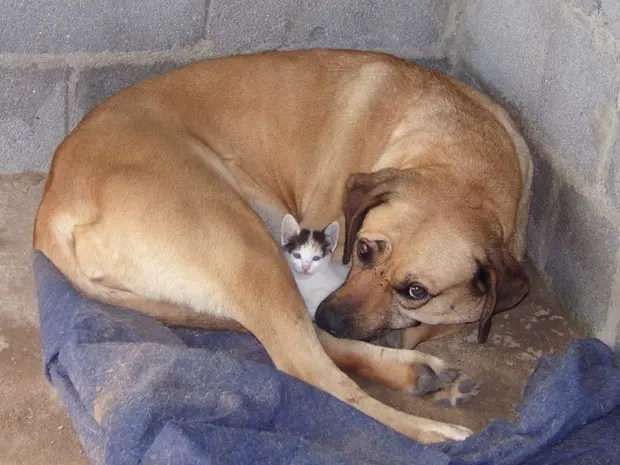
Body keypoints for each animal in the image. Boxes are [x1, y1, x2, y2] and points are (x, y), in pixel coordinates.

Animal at [32, 49, 528, 444]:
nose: (331, 315)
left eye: (415, 291)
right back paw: (433, 430)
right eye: (363, 249)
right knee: (308, 367)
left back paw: (415, 372)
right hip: (248, 248)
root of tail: (52, 207)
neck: (462, 160)